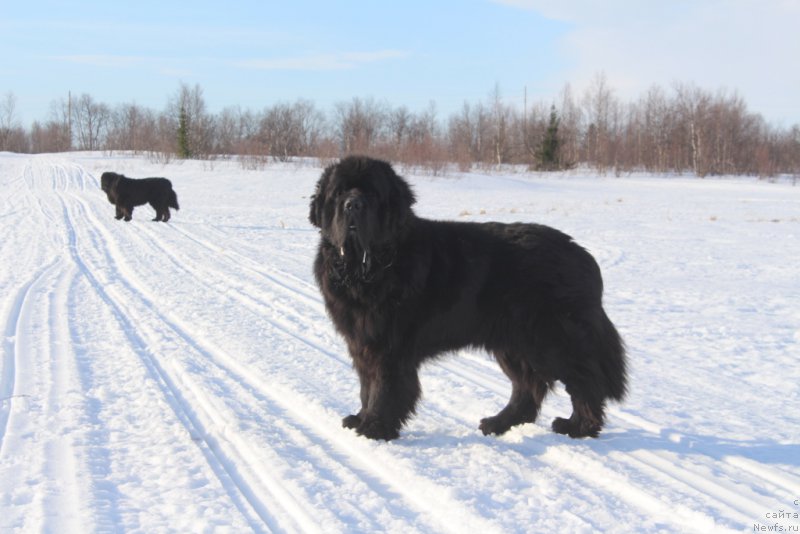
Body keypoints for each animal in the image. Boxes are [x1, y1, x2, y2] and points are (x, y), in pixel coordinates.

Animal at [310, 157, 628, 442]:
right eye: (339, 193)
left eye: (373, 194)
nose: (353, 205)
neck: (369, 267)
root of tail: (583, 255)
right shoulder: (362, 342)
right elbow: (367, 385)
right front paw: (361, 418)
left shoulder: (389, 346)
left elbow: (384, 387)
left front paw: (375, 427)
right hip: (513, 343)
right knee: (529, 386)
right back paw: (499, 423)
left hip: (551, 340)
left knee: (584, 379)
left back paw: (578, 427)